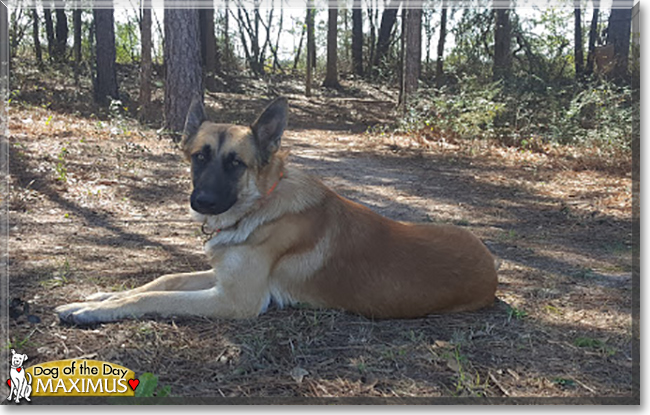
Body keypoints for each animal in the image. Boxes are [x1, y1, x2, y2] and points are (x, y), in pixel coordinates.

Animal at [57, 96, 496, 324]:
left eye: (236, 163)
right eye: (200, 157)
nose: (202, 202)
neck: (262, 203)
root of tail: (491, 266)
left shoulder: (235, 300)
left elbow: (150, 299)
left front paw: (92, 310)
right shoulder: (220, 276)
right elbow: (163, 280)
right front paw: (98, 296)